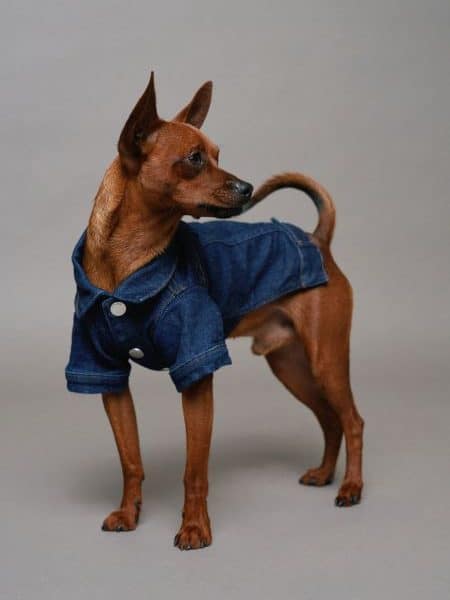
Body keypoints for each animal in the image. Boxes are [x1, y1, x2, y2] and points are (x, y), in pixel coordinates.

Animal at [65, 73, 364, 550]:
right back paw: (323, 474)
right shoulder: (108, 378)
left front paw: (193, 528)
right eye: (194, 159)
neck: (130, 262)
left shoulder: (197, 376)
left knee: (352, 420)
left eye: (218, 156)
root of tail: (317, 239)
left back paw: (351, 488)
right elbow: (131, 460)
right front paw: (129, 514)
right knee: (330, 419)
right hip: (292, 367)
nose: (246, 187)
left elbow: (194, 470)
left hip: (326, 361)